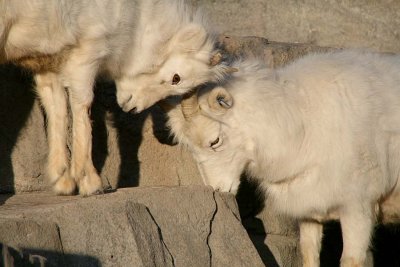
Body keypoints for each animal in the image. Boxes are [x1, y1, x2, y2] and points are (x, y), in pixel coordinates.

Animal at [0, 0, 228, 197]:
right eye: (176, 78)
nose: (133, 108)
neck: (135, 15)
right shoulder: (87, 54)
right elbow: (82, 109)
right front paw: (91, 184)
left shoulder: (49, 64)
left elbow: (58, 109)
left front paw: (62, 182)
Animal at [164, 50, 400, 267]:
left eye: (215, 141)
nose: (218, 190)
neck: (304, 123)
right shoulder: (309, 213)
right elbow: (309, 254)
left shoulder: (358, 209)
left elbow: (351, 260)